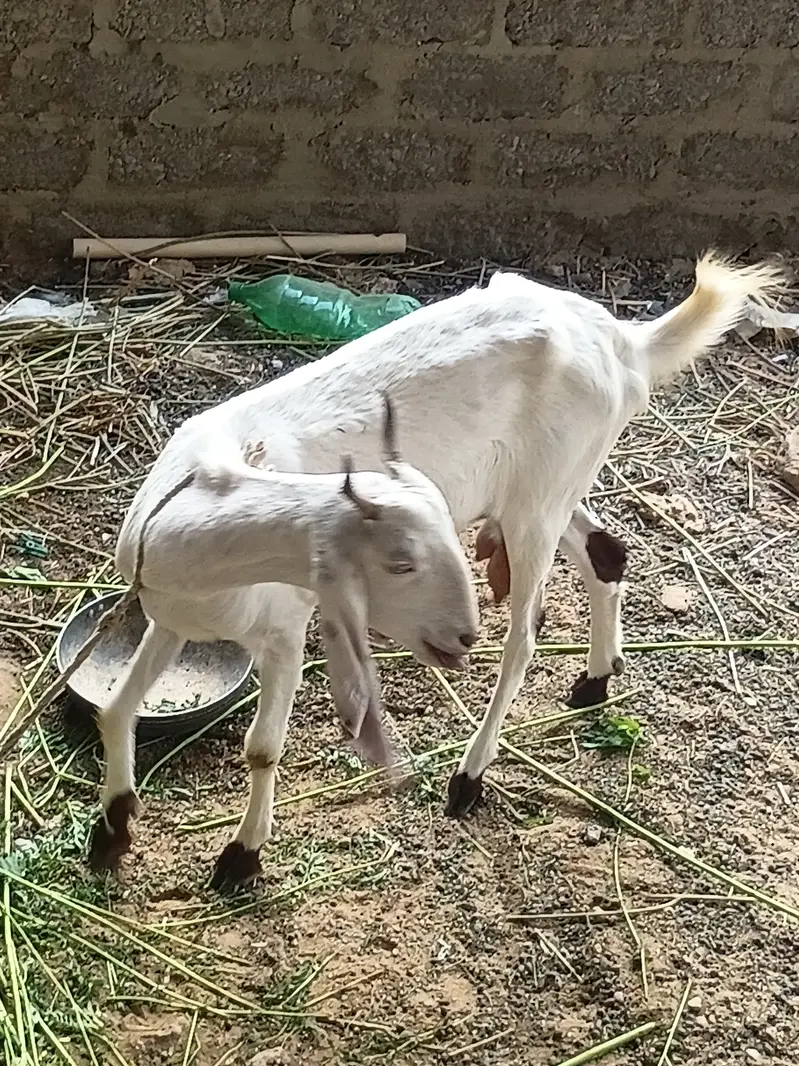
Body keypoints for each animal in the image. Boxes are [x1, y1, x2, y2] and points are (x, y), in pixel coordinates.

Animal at [88, 399, 479, 882]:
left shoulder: (285, 634)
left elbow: (262, 749)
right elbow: (116, 709)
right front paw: (113, 825)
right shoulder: (171, 622)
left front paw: (241, 856)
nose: (465, 635)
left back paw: (470, 779)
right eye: (400, 564)